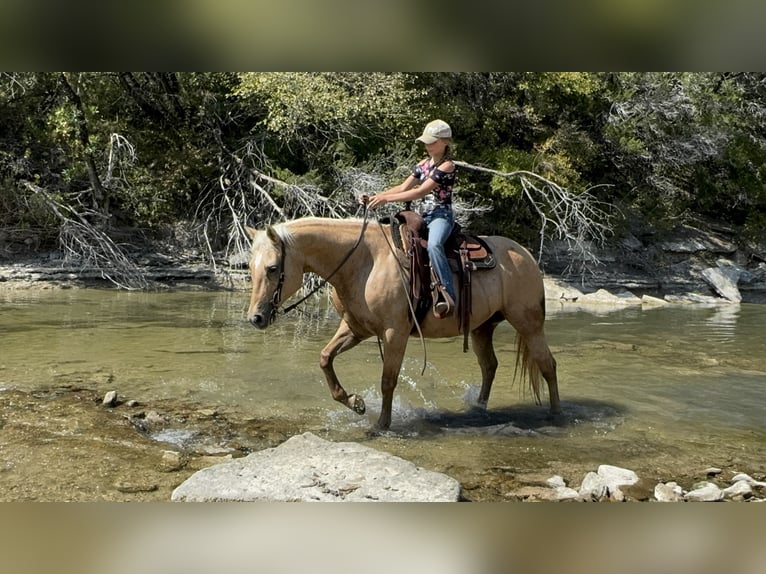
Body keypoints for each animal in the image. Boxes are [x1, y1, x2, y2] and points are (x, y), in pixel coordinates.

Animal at [246, 216, 560, 431]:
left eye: (272, 268)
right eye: (250, 267)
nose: (255, 318)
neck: (364, 263)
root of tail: (526, 255)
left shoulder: (394, 332)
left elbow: (388, 380)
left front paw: (381, 425)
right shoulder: (355, 328)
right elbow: (325, 358)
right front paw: (356, 403)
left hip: (529, 323)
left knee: (547, 364)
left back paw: (556, 414)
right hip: (482, 327)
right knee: (489, 366)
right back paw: (477, 410)